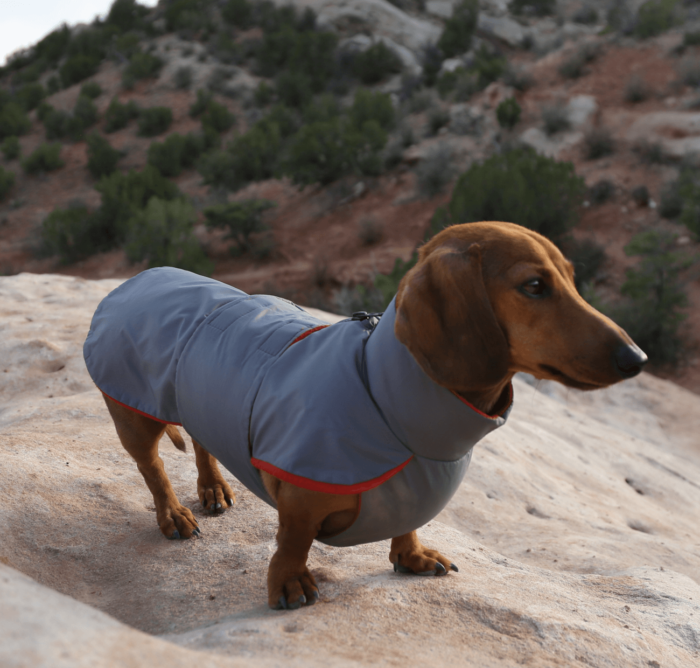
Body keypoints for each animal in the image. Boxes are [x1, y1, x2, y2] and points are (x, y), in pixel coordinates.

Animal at [85, 220, 648, 612]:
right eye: (533, 286)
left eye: (572, 279)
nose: (637, 358)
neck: (383, 393)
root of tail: (139, 278)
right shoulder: (300, 499)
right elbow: (292, 542)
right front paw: (289, 582)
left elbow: (409, 524)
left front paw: (412, 556)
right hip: (134, 414)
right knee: (152, 468)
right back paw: (174, 514)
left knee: (203, 439)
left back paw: (212, 488)